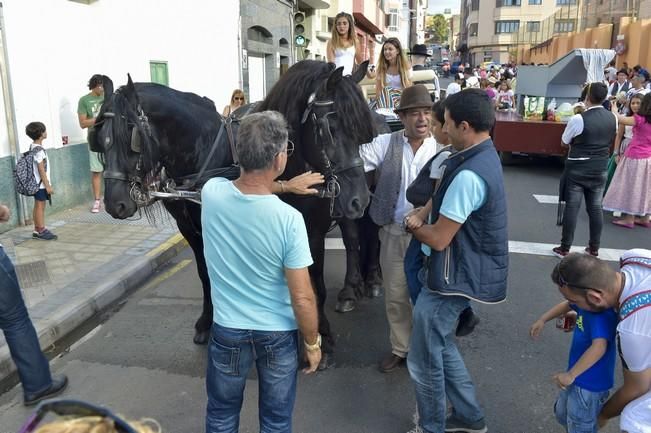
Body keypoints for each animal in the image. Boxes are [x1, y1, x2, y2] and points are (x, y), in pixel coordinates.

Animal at [93, 60, 376, 364]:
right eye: (102, 140)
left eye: (131, 138)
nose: (115, 203)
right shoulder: (193, 229)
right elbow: (206, 275)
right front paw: (208, 322)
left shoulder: (313, 230)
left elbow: (316, 284)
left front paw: (323, 336)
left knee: (353, 241)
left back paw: (353, 288)